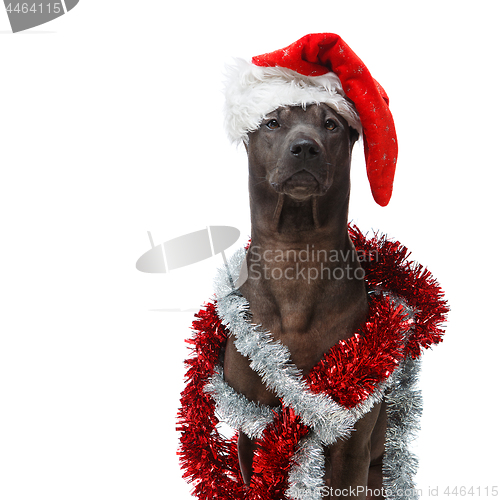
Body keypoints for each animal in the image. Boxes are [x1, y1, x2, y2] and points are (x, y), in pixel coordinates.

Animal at [224, 103, 386, 498]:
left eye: (331, 124)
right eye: (272, 123)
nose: (304, 148)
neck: (297, 253)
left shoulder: (351, 436)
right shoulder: (252, 428)